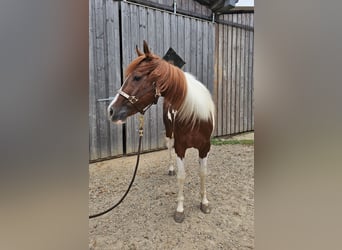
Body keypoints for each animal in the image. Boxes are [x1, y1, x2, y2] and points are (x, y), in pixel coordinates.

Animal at [107, 41, 214, 223]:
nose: (111, 110)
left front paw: (204, 202)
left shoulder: (205, 148)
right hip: (170, 134)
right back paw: (171, 169)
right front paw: (180, 210)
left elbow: (203, 173)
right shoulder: (180, 148)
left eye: (137, 77)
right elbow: (181, 176)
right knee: (169, 148)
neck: (194, 115)